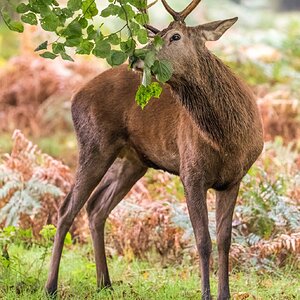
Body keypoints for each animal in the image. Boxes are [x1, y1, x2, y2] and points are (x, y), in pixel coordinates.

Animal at [44, 1, 262, 298]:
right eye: (155, 36)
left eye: (175, 36)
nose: (136, 56)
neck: (228, 140)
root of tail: (76, 94)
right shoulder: (190, 172)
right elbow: (203, 240)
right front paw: (206, 294)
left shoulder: (233, 179)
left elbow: (225, 240)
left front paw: (224, 294)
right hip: (94, 144)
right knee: (67, 209)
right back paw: (51, 286)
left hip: (132, 161)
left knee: (96, 207)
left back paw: (105, 282)